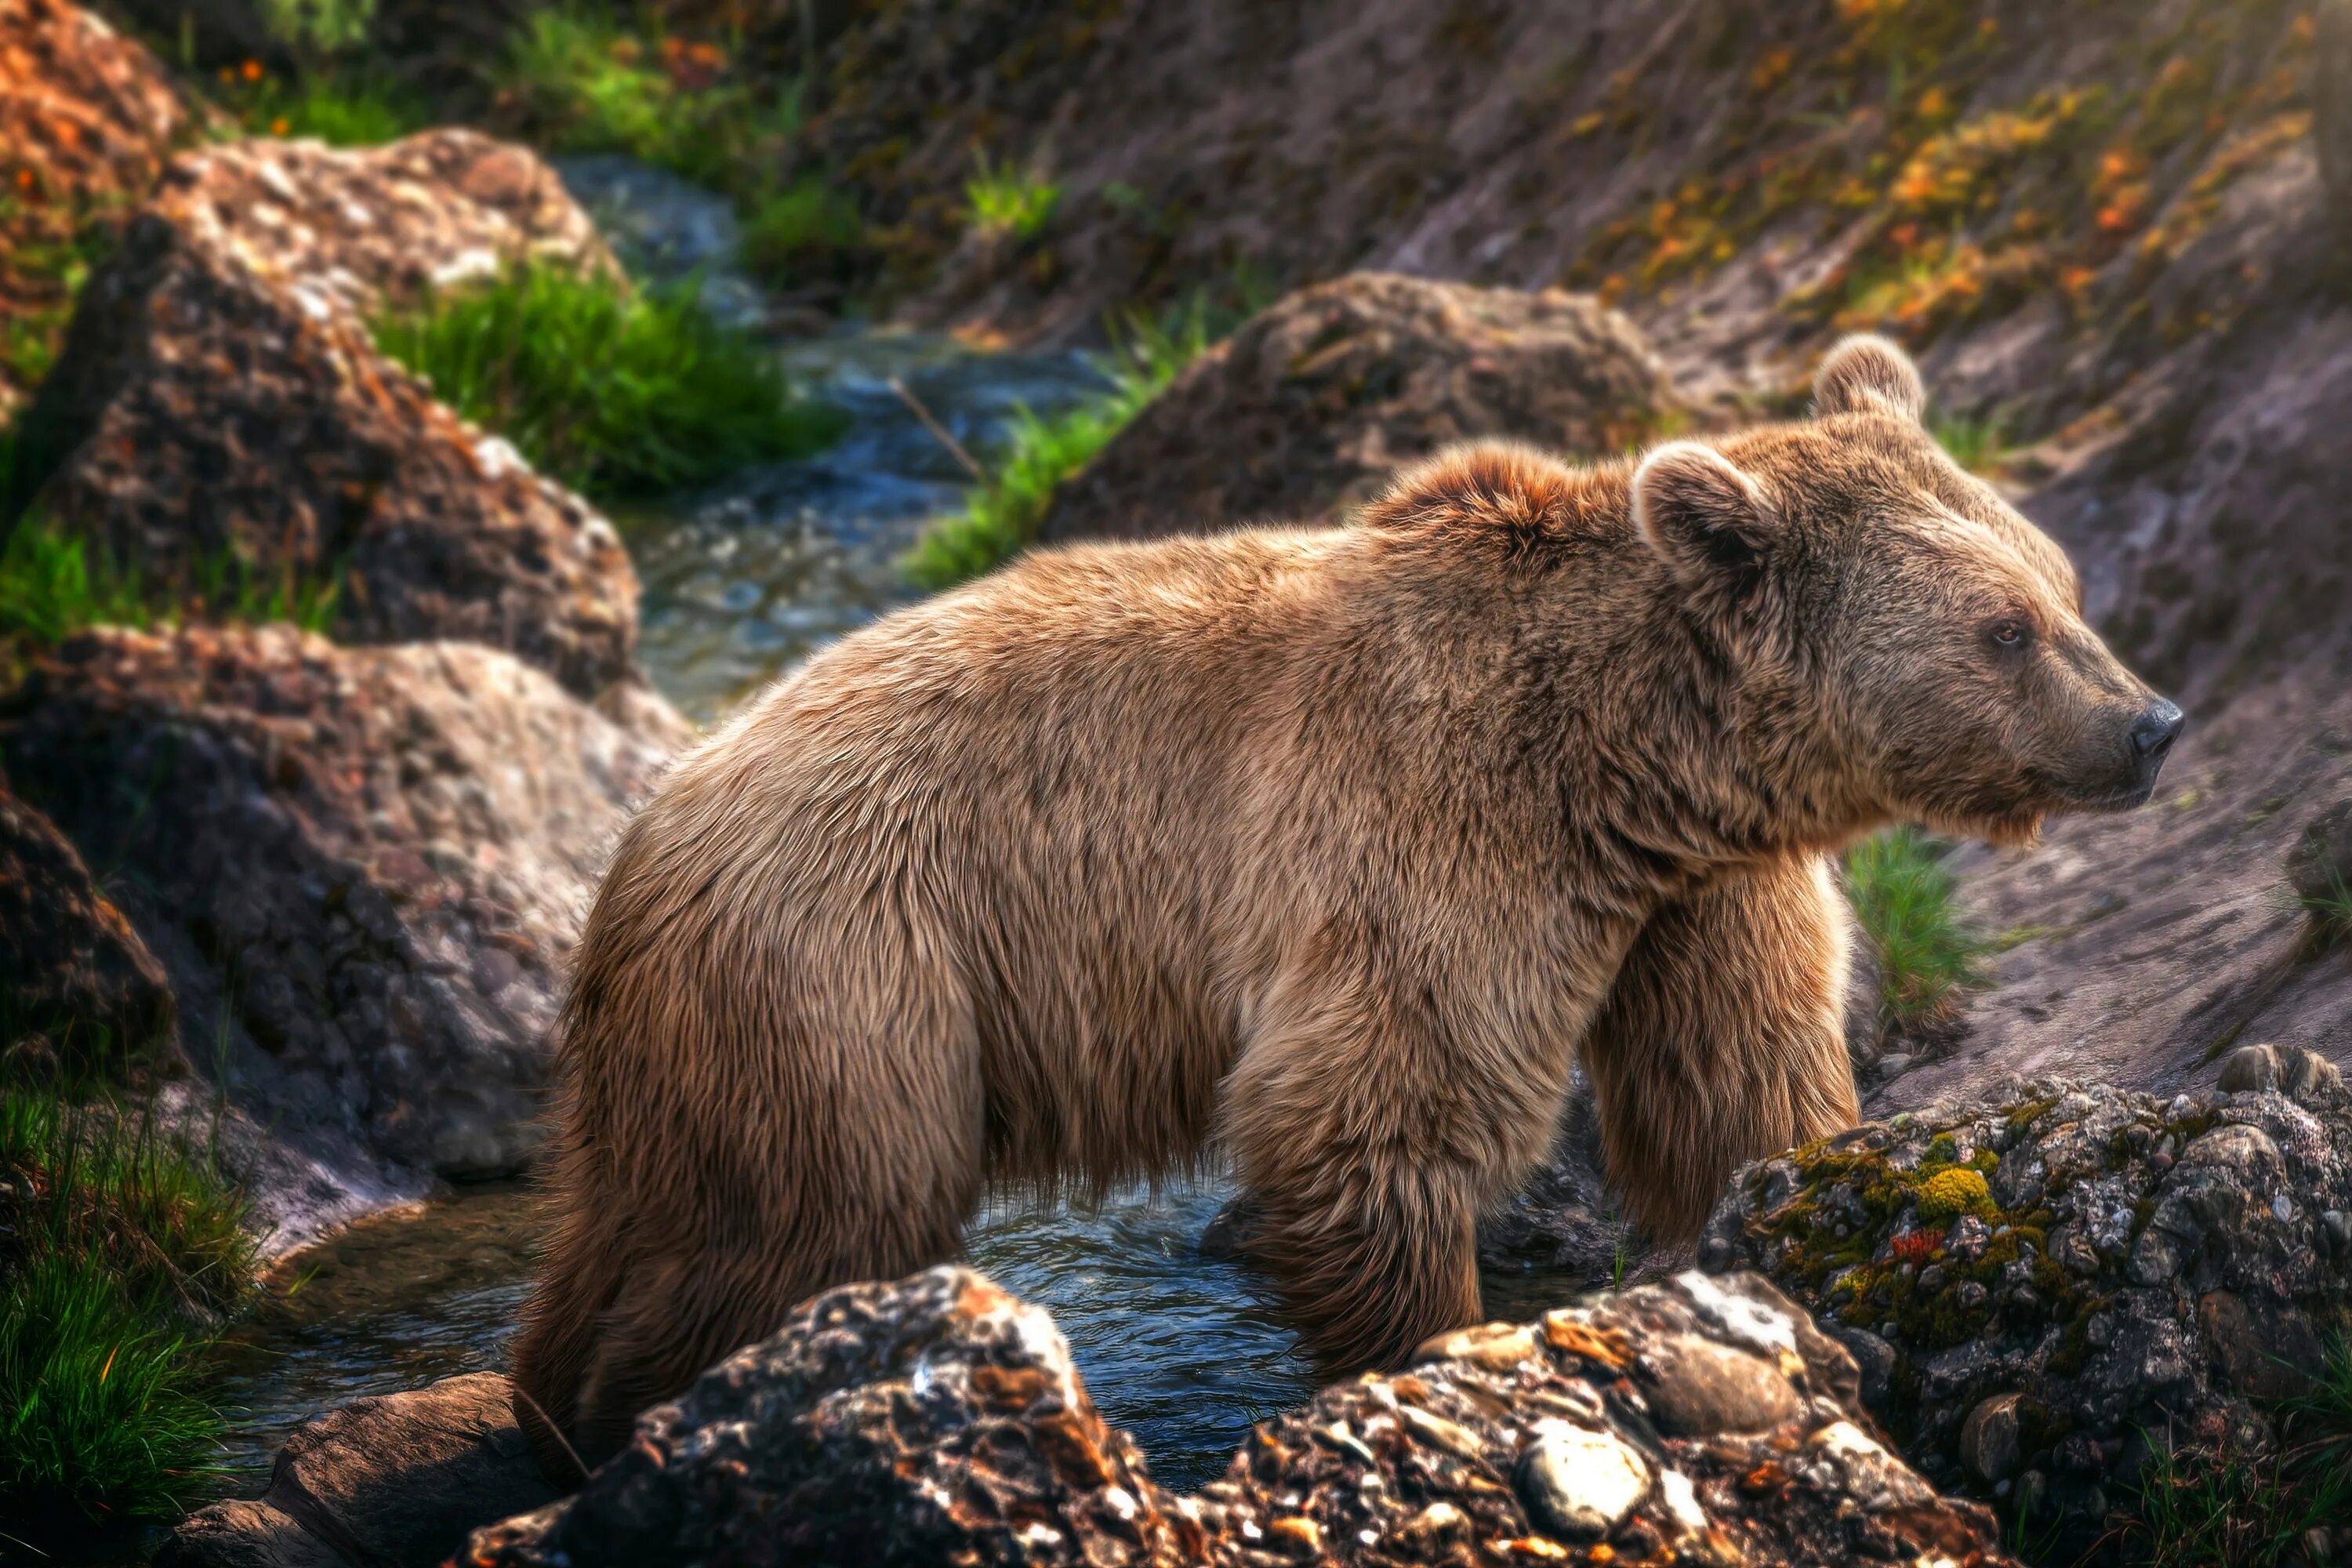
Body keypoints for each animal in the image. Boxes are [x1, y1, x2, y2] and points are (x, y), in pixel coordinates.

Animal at [515, 338, 2183, 1476]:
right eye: (2003, 626)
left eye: (2060, 583)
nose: (2153, 722)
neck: (1631, 767)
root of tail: (647, 827)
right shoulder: (1431, 837)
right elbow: (1380, 1112)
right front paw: (1437, 1357)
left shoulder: (1699, 903)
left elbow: (1736, 1087)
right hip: (851, 970)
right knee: (802, 1228)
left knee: (646, 1225)